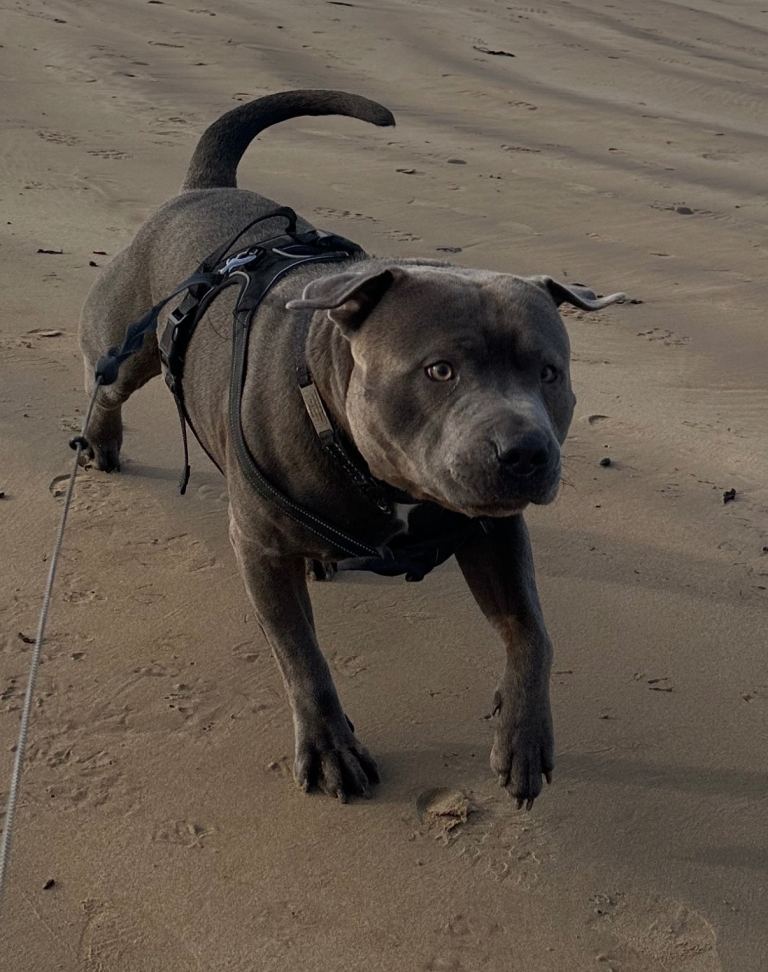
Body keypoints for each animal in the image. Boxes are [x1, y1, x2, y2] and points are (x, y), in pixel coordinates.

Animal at [79, 90, 623, 807]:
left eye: (549, 374)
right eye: (440, 370)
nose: (526, 453)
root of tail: (204, 189)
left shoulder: (494, 535)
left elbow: (532, 633)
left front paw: (523, 736)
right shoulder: (260, 550)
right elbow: (302, 657)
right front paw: (331, 747)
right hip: (128, 346)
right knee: (106, 383)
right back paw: (100, 441)